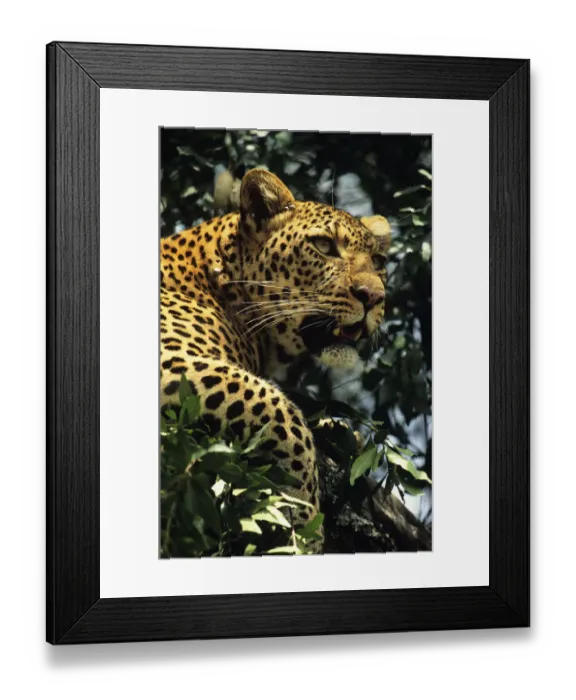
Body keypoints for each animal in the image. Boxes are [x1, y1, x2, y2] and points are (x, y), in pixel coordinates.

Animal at [160, 168, 391, 553]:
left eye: (379, 263)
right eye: (324, 246)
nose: (373, 296)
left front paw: (339, 431)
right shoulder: (172, 359)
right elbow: (276, 407)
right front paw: (304, 517)